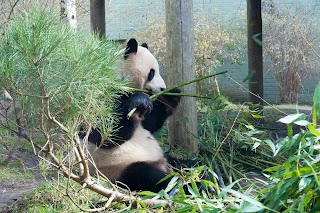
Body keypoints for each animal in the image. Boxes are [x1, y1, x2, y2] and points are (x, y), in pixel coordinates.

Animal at [81, 38, 194, 193]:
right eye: (151, 73)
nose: (163, 88)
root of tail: (162, 164)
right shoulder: (101, 95)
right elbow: (105, 134)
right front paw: (140, 100)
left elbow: (150, 124)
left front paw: (171, 95)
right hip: (120, 168)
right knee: (150, 177)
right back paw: (186, 186)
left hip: (164, 156)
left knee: (184, 163)